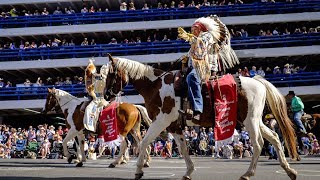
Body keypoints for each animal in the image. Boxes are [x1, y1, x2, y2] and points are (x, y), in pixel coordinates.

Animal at [105, 54, 300, 180]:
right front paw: (188, 172)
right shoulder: (174, 125)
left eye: (111, 74)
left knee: (258, 144)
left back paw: (248, 174)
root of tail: (257, 81)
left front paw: (138, 170)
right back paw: (289, 170)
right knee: (274, 137)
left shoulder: (162, 120)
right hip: (255, 120)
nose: (106, 95)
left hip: (250, 121)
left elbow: (144, 142)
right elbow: (183, 149)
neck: (155, 86)